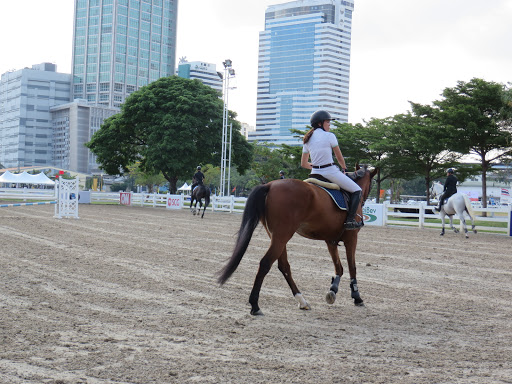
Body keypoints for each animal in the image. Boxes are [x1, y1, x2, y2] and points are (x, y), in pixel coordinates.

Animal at [216, 165, 376, 316]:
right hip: (282, 235)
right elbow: (352, 267)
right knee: (265, 263)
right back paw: (255, 305)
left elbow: (339, 267)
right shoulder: (351, 238)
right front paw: (357, 297)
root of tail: (269, 185)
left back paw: (302, 300)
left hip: (277, 236)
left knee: (284, 266)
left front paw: (333, 290)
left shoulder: (330, 240)